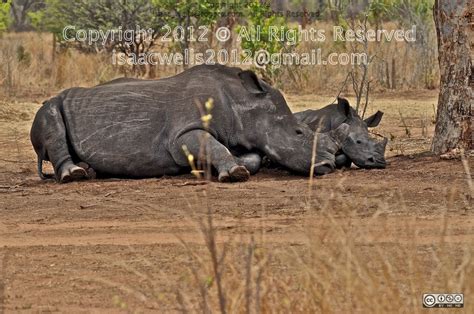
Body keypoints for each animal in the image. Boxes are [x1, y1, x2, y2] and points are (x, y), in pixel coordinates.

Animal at [29, 64, 348, 182]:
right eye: (298, 132)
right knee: (51, 117)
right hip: (52, 104)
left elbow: (251, 155)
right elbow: (214, 146)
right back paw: (75, 175)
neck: (242, 104)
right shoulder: (182, 133)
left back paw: (92, 170)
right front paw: (235, 173)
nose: (329, 165)